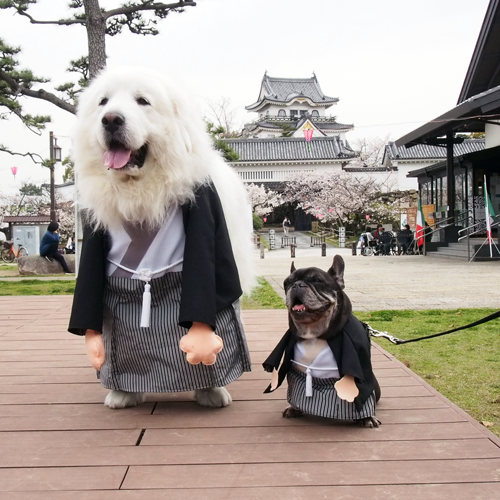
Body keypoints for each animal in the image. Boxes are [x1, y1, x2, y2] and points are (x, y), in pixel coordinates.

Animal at [69, 66, 254, 408]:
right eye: (103, 102)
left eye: (142, 101)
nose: (111, 119)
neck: (139, 191)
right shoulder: (93, 239)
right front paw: (118, 386)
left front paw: (209, 381)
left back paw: (212, 390)